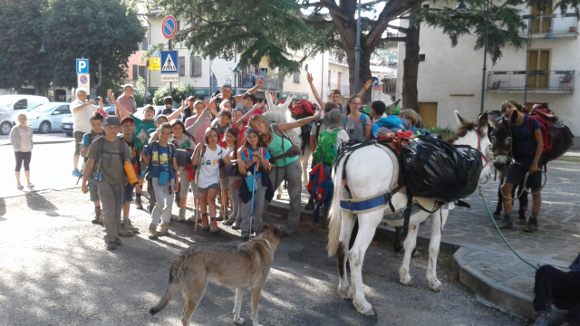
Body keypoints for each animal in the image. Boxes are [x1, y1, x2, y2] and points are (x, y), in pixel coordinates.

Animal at [150, 224, 284, 326]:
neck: (265, 242)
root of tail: (180, 256)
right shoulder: (256, 290)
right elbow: (255, 312)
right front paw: (256, 324)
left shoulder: (241, 289)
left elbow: (238, 307)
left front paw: (237, 320)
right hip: (197, 295)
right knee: (185, 318)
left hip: (191, 296)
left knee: (182, 316)